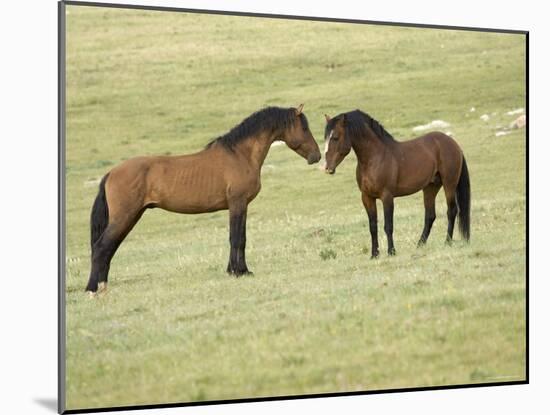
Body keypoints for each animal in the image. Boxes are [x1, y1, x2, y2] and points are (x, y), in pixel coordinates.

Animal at [84, 105, 322, 298]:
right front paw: (239, 272)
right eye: (304, 128)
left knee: (109, 248)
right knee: (102, 247)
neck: (240, 154)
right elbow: (237, 238)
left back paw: (102, 285)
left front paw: (238, 270)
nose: (317, 156)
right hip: (125, 216)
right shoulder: (237, 204)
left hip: (131, 216)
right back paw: (92, 289)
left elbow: (240, 237)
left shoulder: (241, 206)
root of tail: (111, 173)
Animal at [326, 109, 472, 258]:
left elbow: (388, 226)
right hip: (430, 187)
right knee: (430, 216)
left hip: (449, 184)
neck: (375, 158)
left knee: (451, 211)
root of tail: (453, 143)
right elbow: (373, 227)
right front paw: (374, 254)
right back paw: (420, 244)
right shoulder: (367, 198)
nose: (328, 168)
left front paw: (391, 251)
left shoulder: (387, 197)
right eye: (326, 137)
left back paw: (447, 242)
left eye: (335, 137)